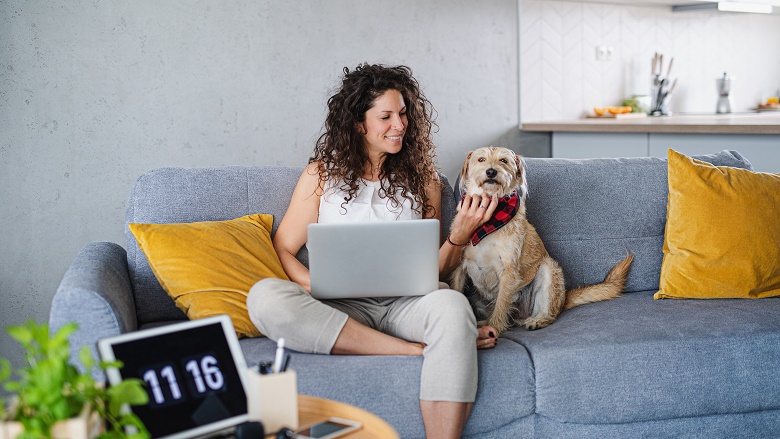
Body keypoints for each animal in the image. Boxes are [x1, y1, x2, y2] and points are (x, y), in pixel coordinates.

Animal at [450, 146, 632, 336]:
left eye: (503, 161)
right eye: (481, 159)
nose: (491, 172)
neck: (489, 222)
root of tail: (563, 300)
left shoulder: (509, 271)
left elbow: (501, 304)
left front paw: (495, 328)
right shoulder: (459, 267)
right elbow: (456, 290)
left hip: (549, 269)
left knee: (548, 313)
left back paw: (538, 319)